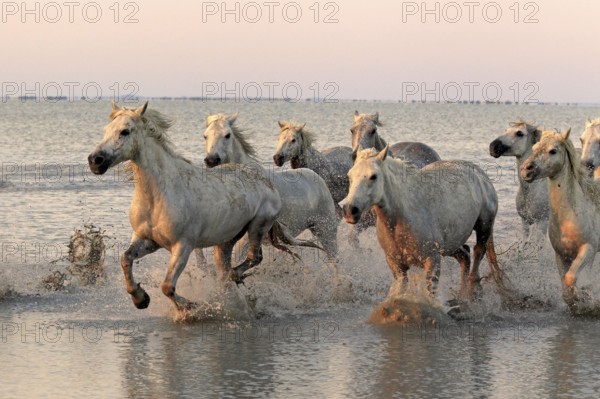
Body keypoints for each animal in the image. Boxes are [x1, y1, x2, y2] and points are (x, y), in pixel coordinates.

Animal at [89, 101, 310, 310]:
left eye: (125, 131)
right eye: (106, 130)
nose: (95, 160)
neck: (159, 195)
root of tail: (267, 181)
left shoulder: (183, 247)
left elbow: (167, 286)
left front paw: (191, 308)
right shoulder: (147, 240)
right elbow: (125, 259)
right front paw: (140, 299)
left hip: (258, 227)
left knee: (254, 257)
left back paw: (234, 279)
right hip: (226, 241)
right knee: (227, 266)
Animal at [204, 113, 340, 262]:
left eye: (227, 135)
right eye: (205, 136)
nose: (211, 160)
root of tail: (318, 178)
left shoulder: (245, 238)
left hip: (326, 230)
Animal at [342, 147, 502, 300]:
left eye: (373, 176)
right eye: (349, 176)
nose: (350, 210)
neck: (401, 218)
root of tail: (480, 174)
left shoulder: (432, 261)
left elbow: (429, 295)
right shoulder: (396, 265)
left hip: (484, 227)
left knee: (477, 256)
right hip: (451, 245)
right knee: (465, 256)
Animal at [516, 130, 600, 314]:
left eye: (553, 151)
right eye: (534, 147)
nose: (526, 170)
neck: (570, 217)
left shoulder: (588, 249)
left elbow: (571, 278)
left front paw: (582, 299)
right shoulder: (562, 255)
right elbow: (565, 285)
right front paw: (579, 301)